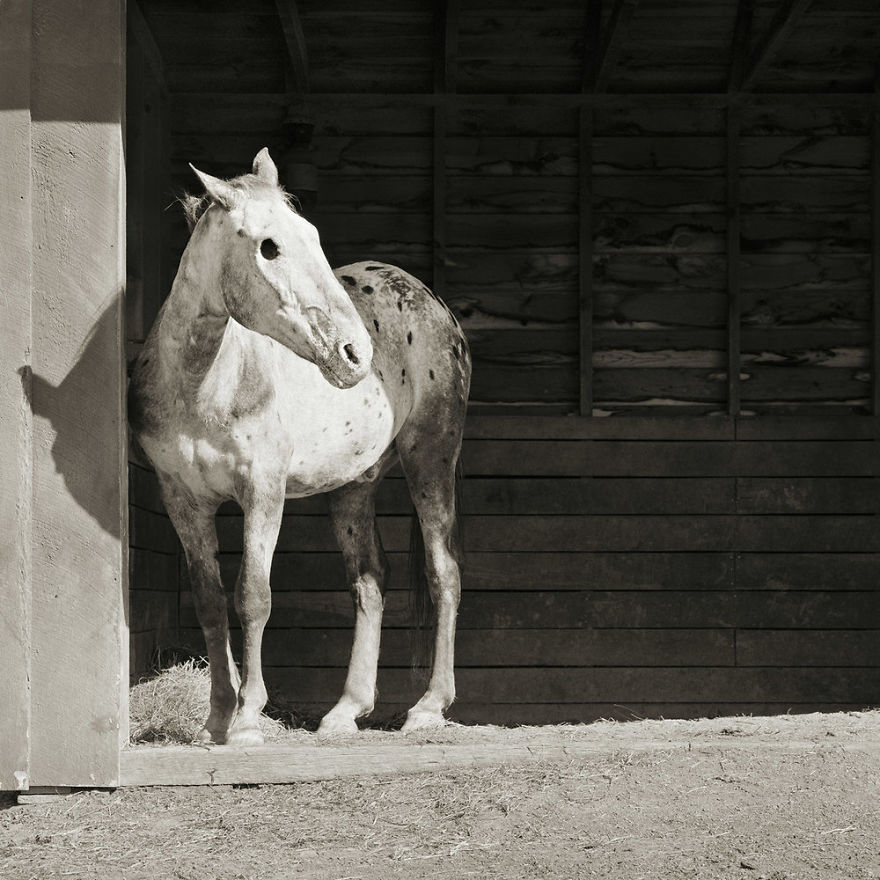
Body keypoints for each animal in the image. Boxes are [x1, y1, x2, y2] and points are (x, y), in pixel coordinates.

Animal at [128, 149, 471, 745]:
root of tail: (431, 302)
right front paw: (216, 717)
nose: (355, 353)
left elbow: (253, 596)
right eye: (269, 246)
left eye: (311, 234)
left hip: (431, 458)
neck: (201, 385)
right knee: (369, 581)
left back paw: (428, 708)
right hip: (354, 487)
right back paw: (345, 711)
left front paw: (247, 719)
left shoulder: (263, 492)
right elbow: (210, 601)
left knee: (443, 572)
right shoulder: (183, 500)